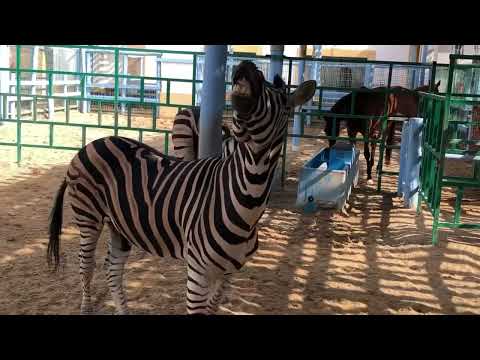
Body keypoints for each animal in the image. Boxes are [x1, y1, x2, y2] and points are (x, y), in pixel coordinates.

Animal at [45, 60, 316, 314]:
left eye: (283, 101)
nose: (247, 66)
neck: (245, 200)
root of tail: (92, 144)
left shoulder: (228, 273)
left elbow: (213, 307)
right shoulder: (197, 270)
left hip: (119, 224)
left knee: (112, 269)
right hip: (88, 216)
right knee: (86, 267)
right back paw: (86, 305)